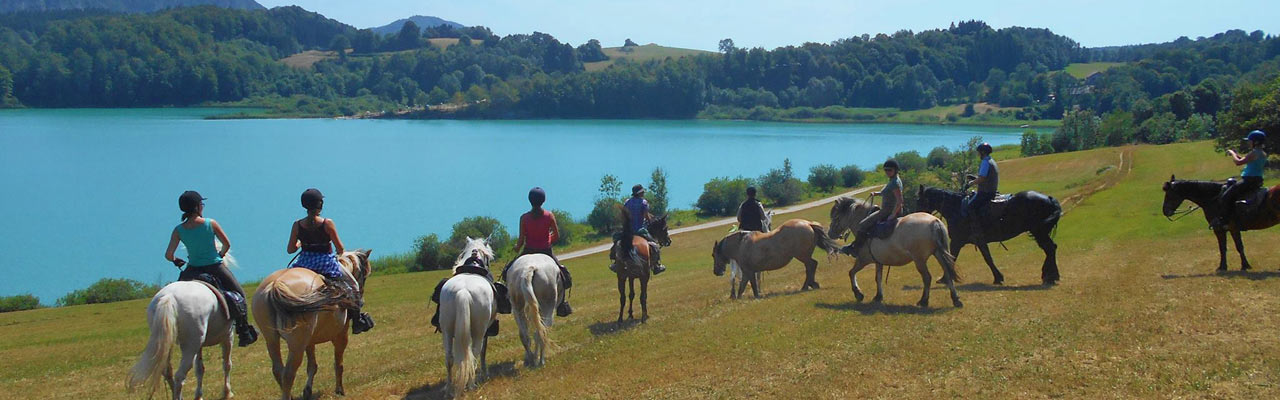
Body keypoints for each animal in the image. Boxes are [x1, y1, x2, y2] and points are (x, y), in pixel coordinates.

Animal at [249, 248, 371, 397]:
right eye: (364, 275)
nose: (361, 299)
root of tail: (275, 285)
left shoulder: (309, 341)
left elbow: (312, 366)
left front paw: (307, 390)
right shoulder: (341, 335)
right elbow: (338, 364)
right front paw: (339, 390)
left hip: (272, 339)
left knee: (278, 370)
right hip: (297, 344)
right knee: (288, 373)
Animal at [440, 237, 499, 389]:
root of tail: (463, 291)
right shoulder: (485, 331)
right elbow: (483, 351)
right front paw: (484, 373)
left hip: (447, 330)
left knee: (449, 357)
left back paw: (448, 387)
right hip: (479, 330)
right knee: (474, 354)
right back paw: (472, 384)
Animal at [711, 219, 839, 300]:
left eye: (713, 255)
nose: (716, 272)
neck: (741, 244)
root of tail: (808, 224)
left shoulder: (748, 272)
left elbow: (744, 286)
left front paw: (741, 298)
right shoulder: (751, 272)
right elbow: (751, 285)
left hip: (802, 256)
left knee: (811, 266)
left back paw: (807, 285)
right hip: (804, 256)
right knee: (811, 266)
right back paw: (810, 285)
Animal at [916, 185, 1064, 285]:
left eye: (919, 200)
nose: (917, 215)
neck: (956, 209)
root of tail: (1049, 199)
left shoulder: (958, 241)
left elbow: (953, 259)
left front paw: (944, 279)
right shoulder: (976, 241)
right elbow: (987, 257)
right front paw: (998, 277)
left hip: (1039, 232)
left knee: (1050, 249)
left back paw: (1049, 276)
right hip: (1040, 233)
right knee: (1051, 249)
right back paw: (1051, 275)